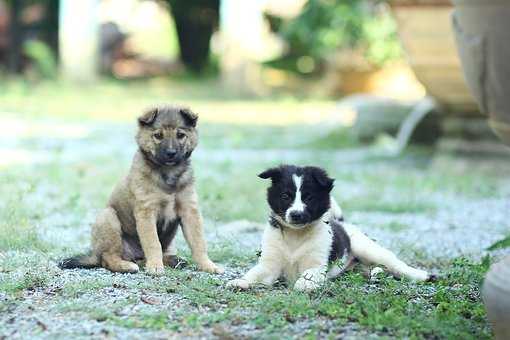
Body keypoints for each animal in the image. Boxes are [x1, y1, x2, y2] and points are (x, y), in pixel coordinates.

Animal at [58, 105, 222, 274]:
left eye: (180, 135)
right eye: (158, 135)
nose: (171, 153)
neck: (168, 173)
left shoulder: (189, 210)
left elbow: (198, 242)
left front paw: (208, 265)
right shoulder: (146, 211)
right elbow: (153, 243)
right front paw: (155, 267)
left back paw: (172, 260)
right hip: (108, 218)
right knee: (108, 258)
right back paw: (127, 265)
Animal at [227, 165, 430, 292]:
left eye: (309, 197)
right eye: (285, 196)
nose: (296, 215)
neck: (295, 235)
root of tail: (343, 224)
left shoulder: (317, 264)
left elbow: (308, 275)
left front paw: (304, 285)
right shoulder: (269, 264)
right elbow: (255, 274)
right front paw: (241, 281)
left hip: (368, 249)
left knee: (396, 264)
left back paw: (421, 275)